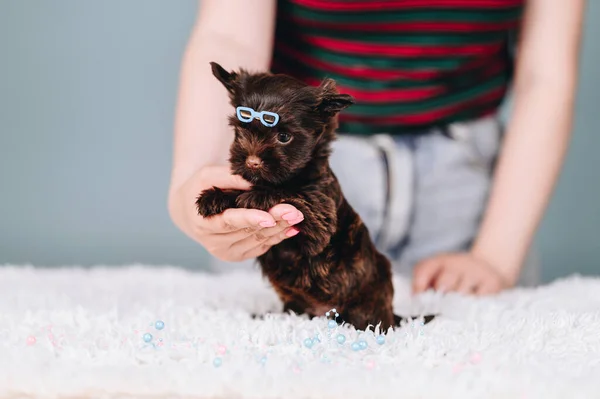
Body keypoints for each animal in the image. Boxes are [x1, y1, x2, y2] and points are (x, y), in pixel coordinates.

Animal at [199, 61, 434, 332]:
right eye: (240, 130)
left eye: (284, 137)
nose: (252, 162)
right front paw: (214, 197)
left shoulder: (320, 212)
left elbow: (288, 193)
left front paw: (255, 196)